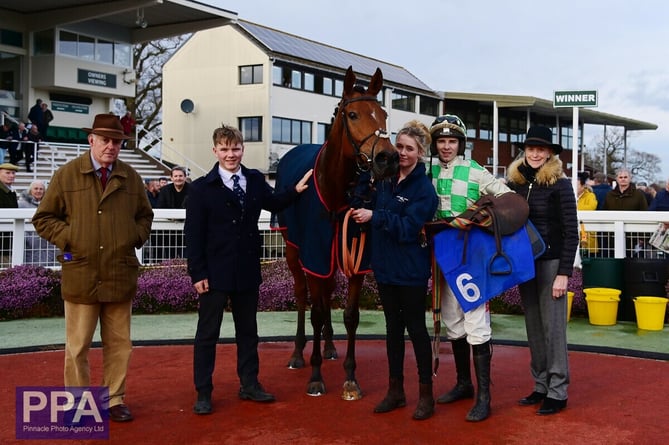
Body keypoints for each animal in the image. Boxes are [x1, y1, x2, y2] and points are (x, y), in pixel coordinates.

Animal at [276, 64, 400, 398]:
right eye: (353, 115)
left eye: (384, 114)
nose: (388, 159)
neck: (333, 190)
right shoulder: (315, 254)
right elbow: (317, 312)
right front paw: (316, 376)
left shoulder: (356, 258)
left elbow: (350, 315)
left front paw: (350, 378)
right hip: (293, 250)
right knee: (303, 295)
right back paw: (297, 353)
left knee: (328, 292)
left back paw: (330, 346)